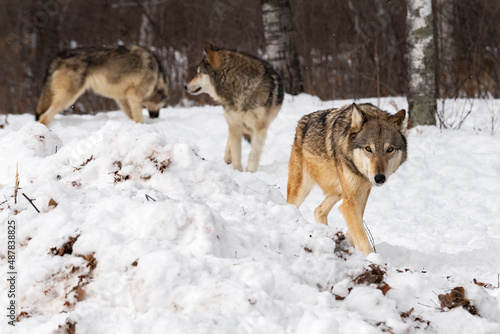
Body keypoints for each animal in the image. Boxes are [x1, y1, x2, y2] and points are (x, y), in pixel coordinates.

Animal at [35, 45, 168, 126]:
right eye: (162, 106)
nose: (156, 117)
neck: (157, 76)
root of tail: (58, 57)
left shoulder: (122, 97)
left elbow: (130, 114)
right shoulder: (134, 95)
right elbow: (138, 116)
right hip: (68, 98)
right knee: (44, 117)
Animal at [185, 44, 286, 172]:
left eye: (199, 73)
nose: (185, 86)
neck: (239, 86)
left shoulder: (260, 128)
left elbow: (254, 154)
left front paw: (250, 172)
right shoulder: (234, 124)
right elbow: (236, 152)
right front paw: (238, 171)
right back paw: (228, 157)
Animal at [288, 103, 408, 254]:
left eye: (390, 149)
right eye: (368, 149)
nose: (379, 178)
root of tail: (302, 121)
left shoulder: (363, 192)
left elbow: (357, 225)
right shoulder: (350, 200)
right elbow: (362, 237)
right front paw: (372, 257)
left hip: (339, 191)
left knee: (318, 210)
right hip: (301, 191)